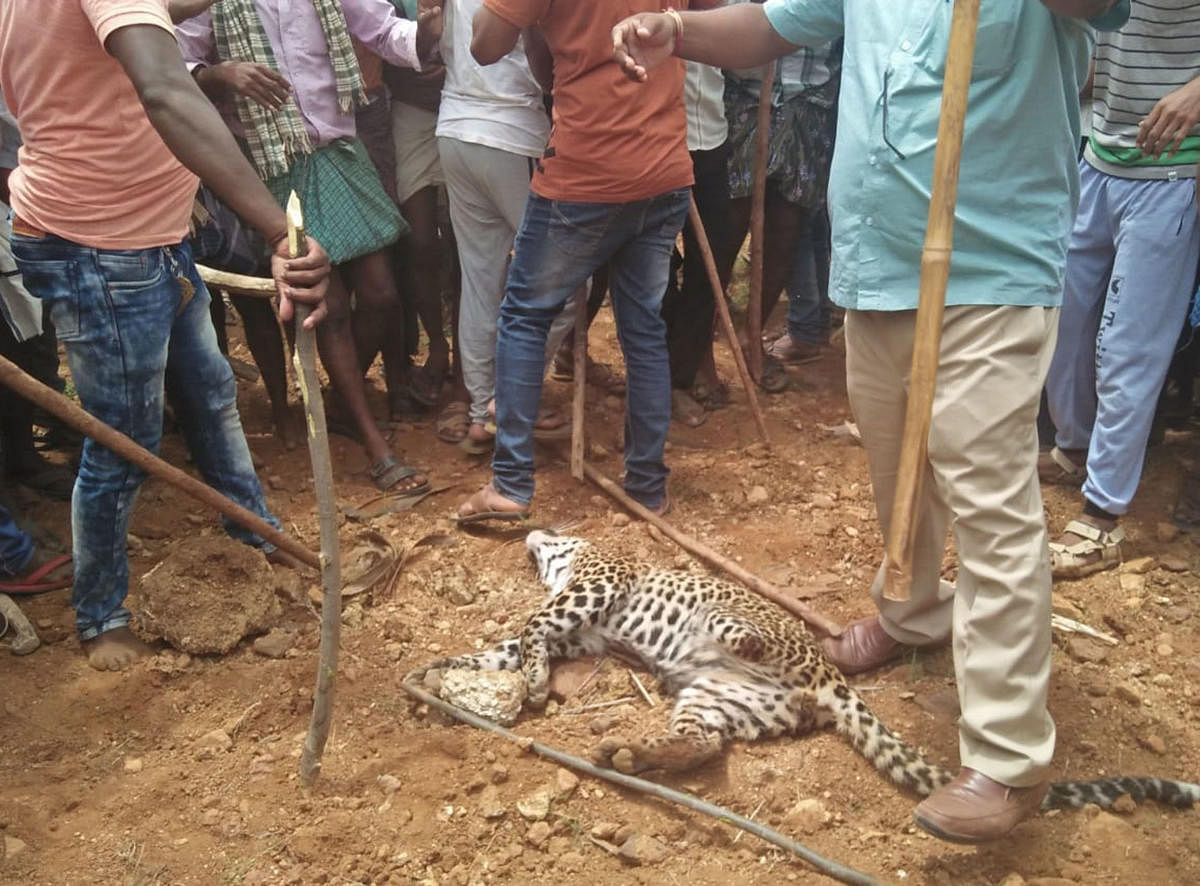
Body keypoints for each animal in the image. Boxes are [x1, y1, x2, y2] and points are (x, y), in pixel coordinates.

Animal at [408, 528, 1195, 811]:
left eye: (552, 535)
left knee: (741, 638)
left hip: (748, 643)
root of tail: (827, 680)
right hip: (720, 702)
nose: (533, 533)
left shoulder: (597, 584)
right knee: (704, 744)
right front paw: (442, 672)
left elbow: (531, 628)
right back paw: (631, 752)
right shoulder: (583, 625)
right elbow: (508, 644)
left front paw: (533, 682)